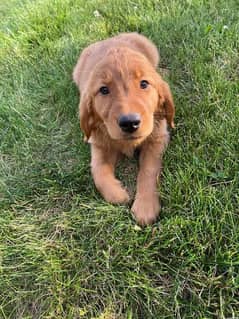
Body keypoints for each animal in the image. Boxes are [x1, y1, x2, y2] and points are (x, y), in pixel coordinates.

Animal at [73, 31, 176, 224]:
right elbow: (98, 171)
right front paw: (117, 194)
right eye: (104, 90)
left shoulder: (157, 138)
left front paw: (145, 206)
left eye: (144, 84)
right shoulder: (99, 144)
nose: (130, 122)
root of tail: (109, 38)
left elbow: (148, 170)